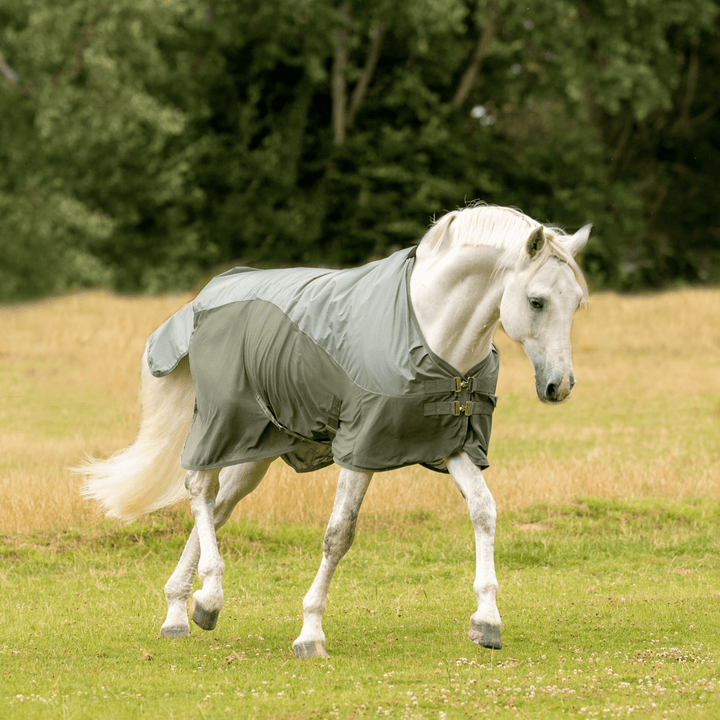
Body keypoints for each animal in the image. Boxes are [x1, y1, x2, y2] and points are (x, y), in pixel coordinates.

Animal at [77, 203, 590, 658]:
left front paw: (486, 620)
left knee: (219, 507)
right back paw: (209, 596)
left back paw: (181, 612)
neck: (432, 333)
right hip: (225, 426)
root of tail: (204, 300)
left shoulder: (455, 444)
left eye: (577, 304)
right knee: (200, 489)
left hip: (256, 451)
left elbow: (484, 511)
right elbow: (338, 534)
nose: (559, 386)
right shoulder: (360, 448)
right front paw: (310, 633)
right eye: (537, 301)